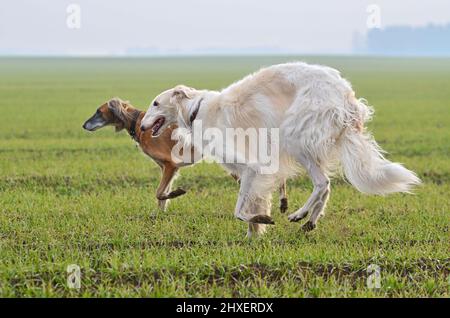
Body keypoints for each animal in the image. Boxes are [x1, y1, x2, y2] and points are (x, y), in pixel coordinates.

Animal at [83, 98, 288, 212]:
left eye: (98, 111)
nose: (84, 125)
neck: (139, 124)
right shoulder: (167, 168)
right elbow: (161, 195)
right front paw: (159, 214)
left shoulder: (170, 165)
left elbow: (159, 192)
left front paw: (175, 194)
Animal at [142, 61, 422, 236]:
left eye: (155, 103)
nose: (142, 126)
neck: (196, 110)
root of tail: (347, 96)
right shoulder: (249, 173)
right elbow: (250, 205)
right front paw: (254, 234)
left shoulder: (252, 166)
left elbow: (239, 211)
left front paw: (259, 222)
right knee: (327, 186)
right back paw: (310, 220)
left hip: (295, 137)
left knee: (321, 183)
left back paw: (300, 213)